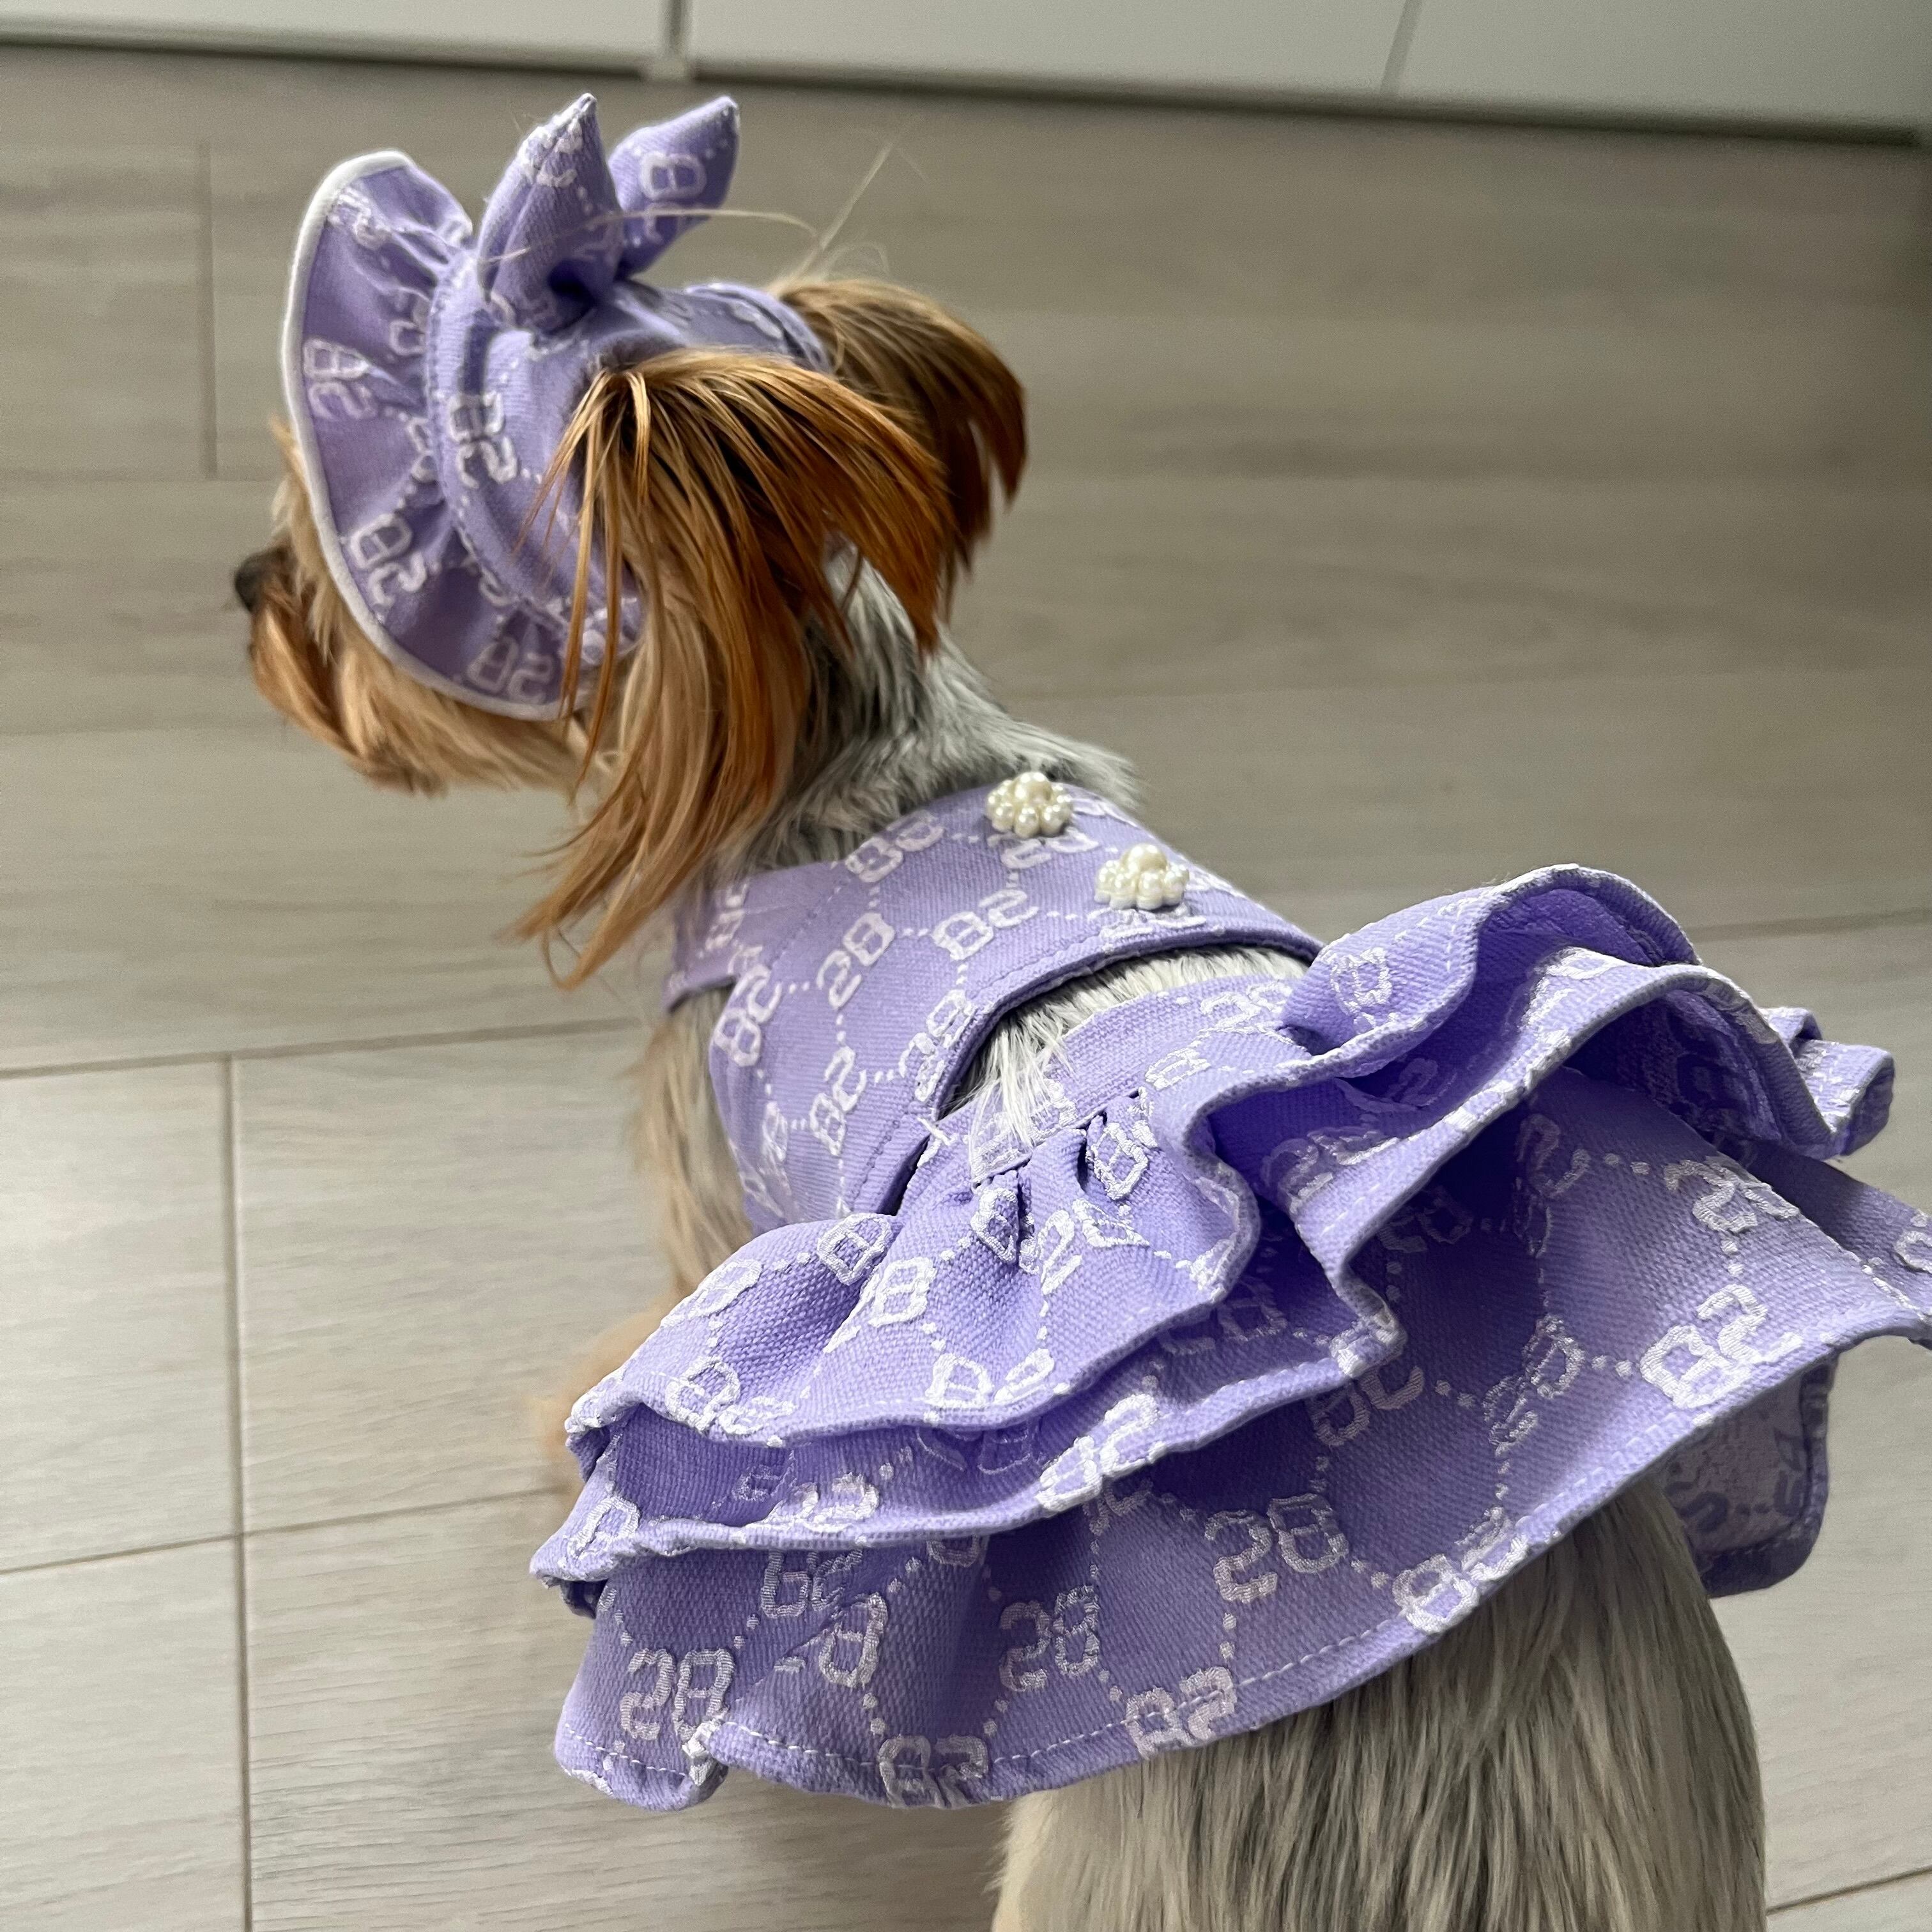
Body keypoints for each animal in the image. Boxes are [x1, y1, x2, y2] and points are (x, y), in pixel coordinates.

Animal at [237, 96, 1781, 1931]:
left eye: (329, 551)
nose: (244, 586)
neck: (844, 740)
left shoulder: (720, 1184)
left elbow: (673, 1326)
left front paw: (580, 1426)